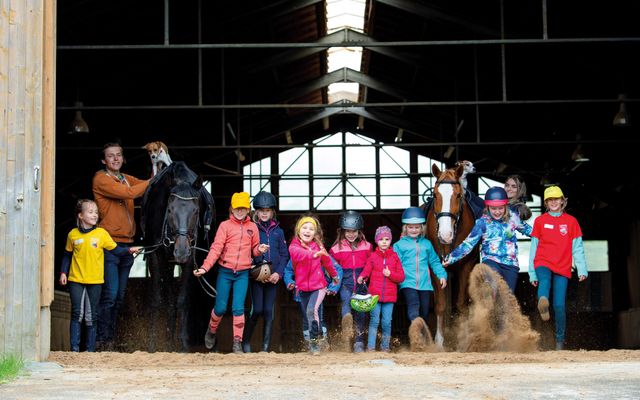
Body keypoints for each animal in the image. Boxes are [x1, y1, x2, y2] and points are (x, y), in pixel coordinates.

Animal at [140, 161, 215, 352]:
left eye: (195, 211)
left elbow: (182, 300)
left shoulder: (190, 259)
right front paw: (153, 344)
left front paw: (183, 345)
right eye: (170, 210)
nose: (181, 251)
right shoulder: (156, 256)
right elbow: (157, 300)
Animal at [428, 162, 478, 346]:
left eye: (458, 195)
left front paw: (463, 339)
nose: (445, 235)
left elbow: (462, 304)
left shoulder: (466, 266)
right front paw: (439, 342)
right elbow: (440, 304)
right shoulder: (435, 267)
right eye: (435, 195)